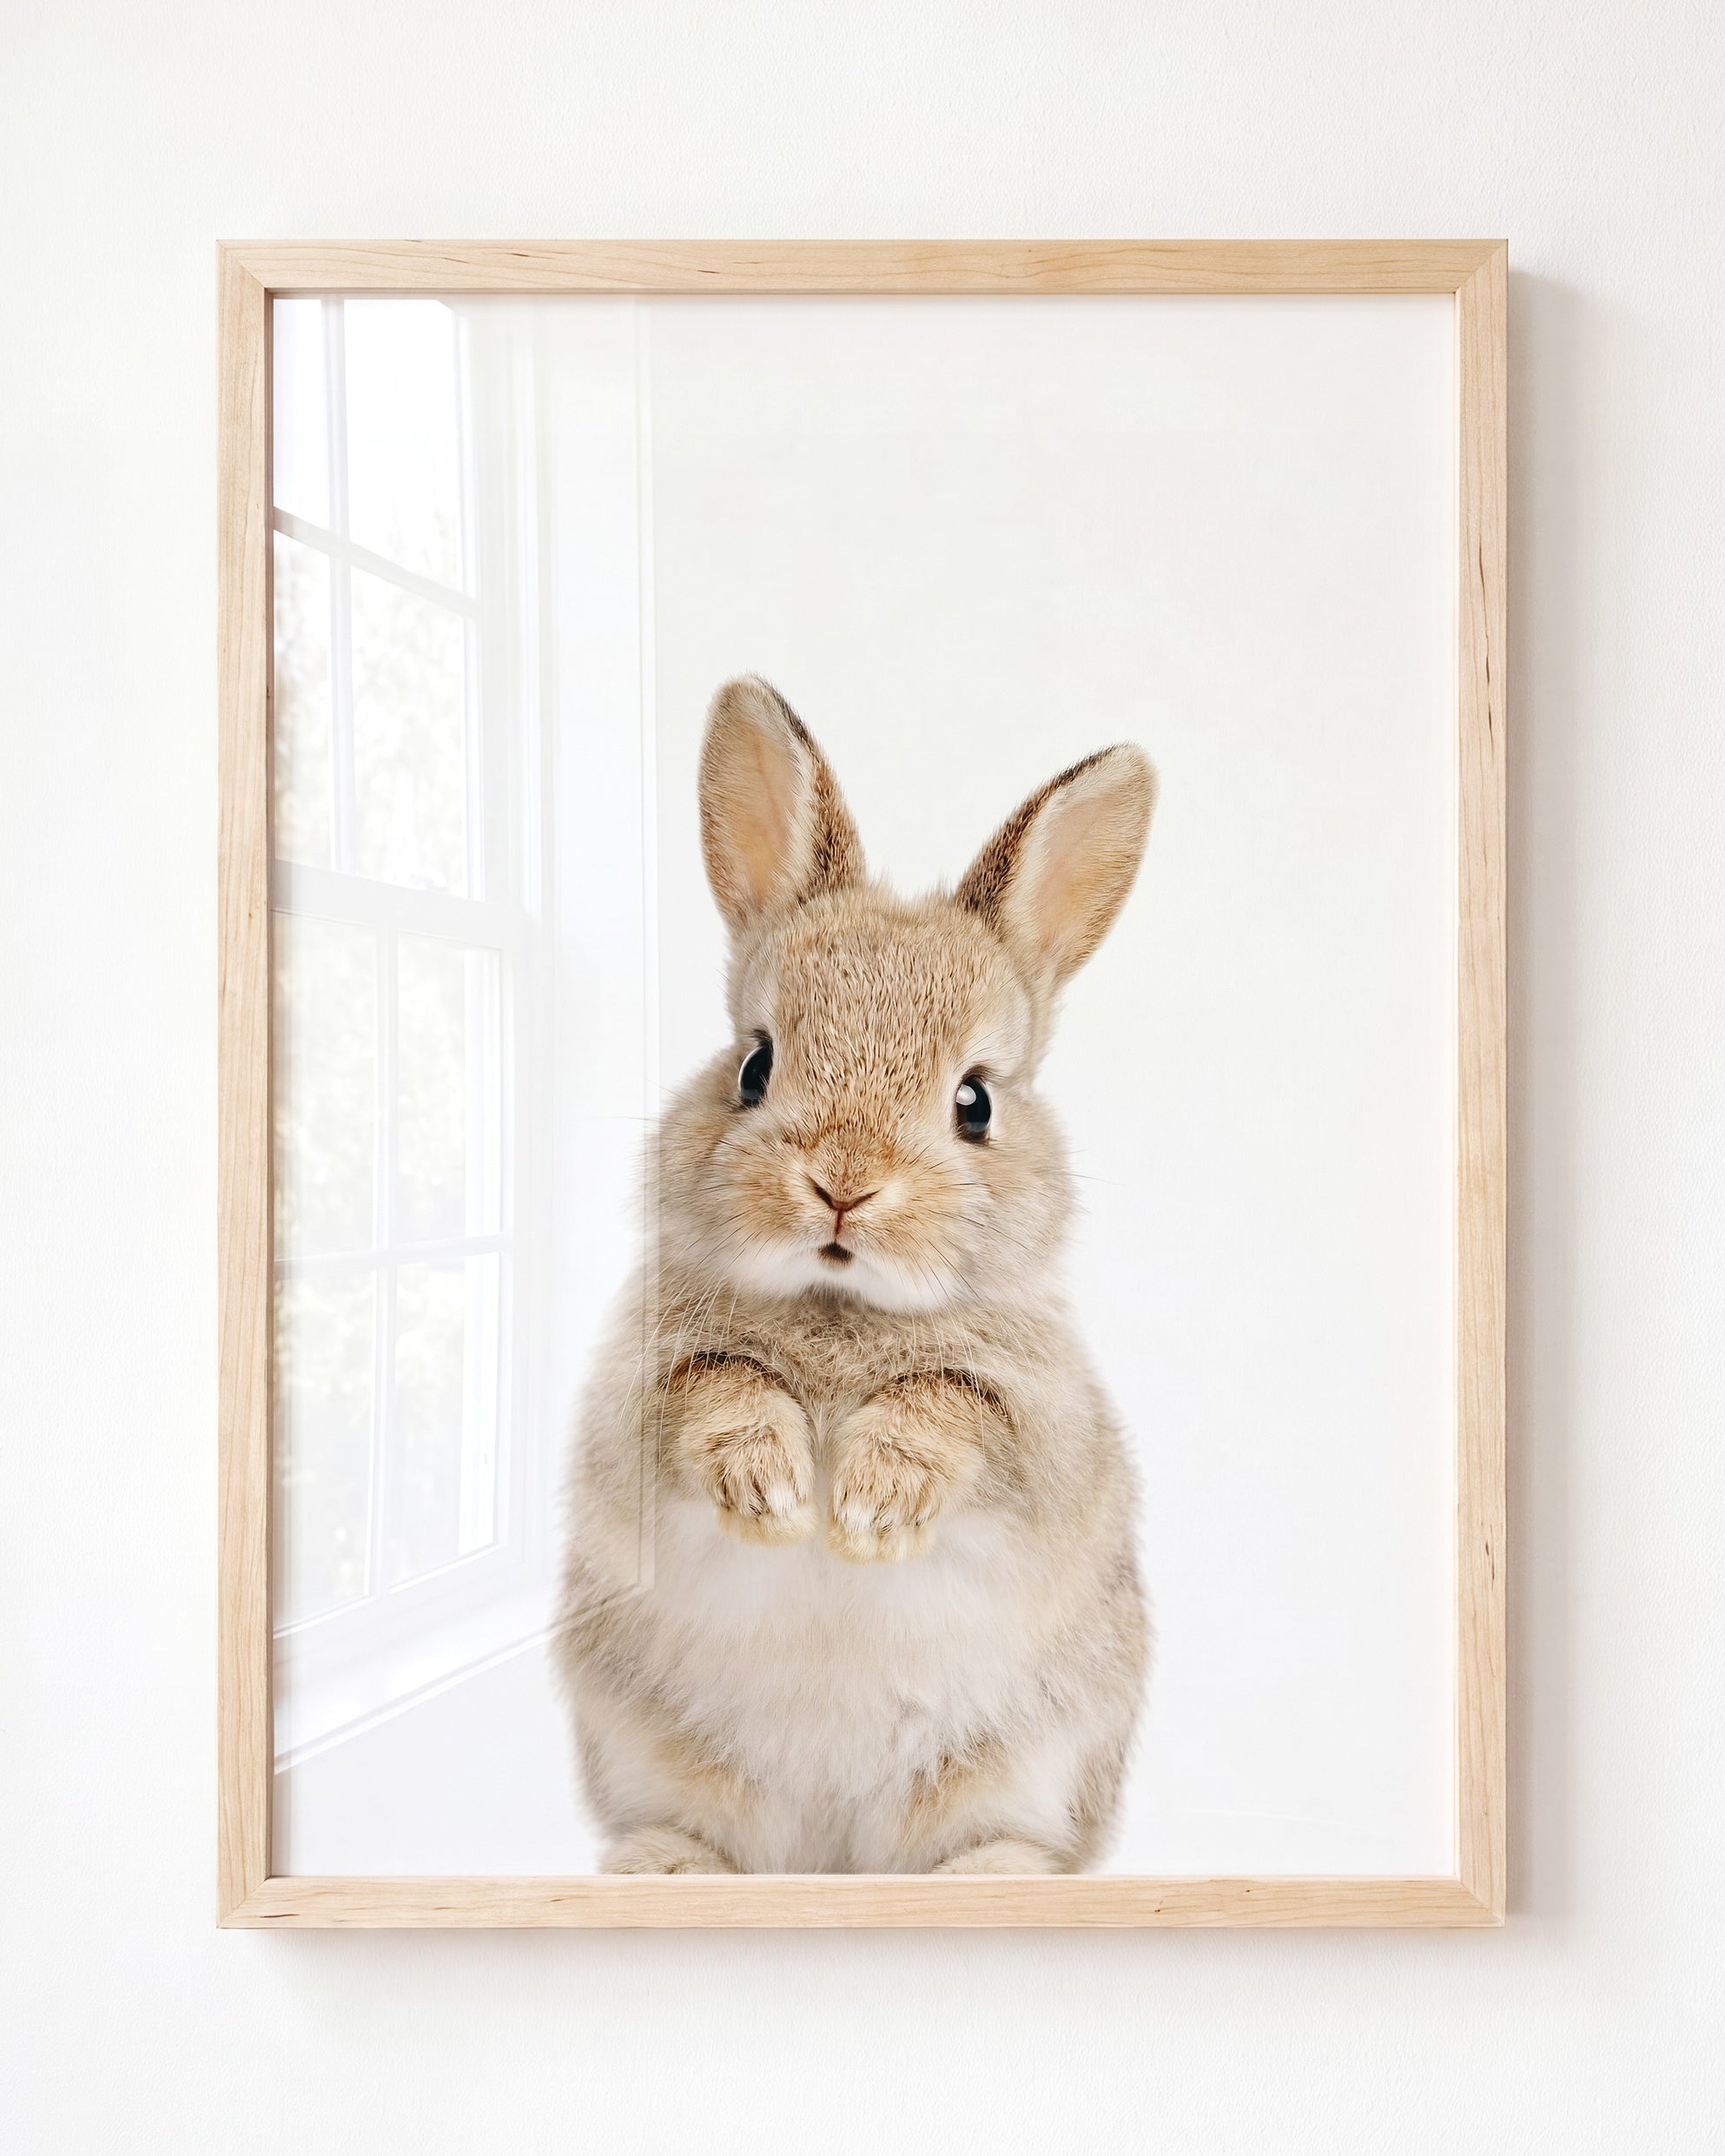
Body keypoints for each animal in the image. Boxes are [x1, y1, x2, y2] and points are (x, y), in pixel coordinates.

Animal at [554, 676, 1155, 1875]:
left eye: (975, 1100)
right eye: (754, 1064)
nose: (842, 1185)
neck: (842, 1307)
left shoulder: (1043, 1429)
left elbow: (951, 1408)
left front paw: (870, 1506)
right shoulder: (637, 1397)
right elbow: (716, 1388)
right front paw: (777, 1492)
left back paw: (995, 1882)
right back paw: (666, 1869)